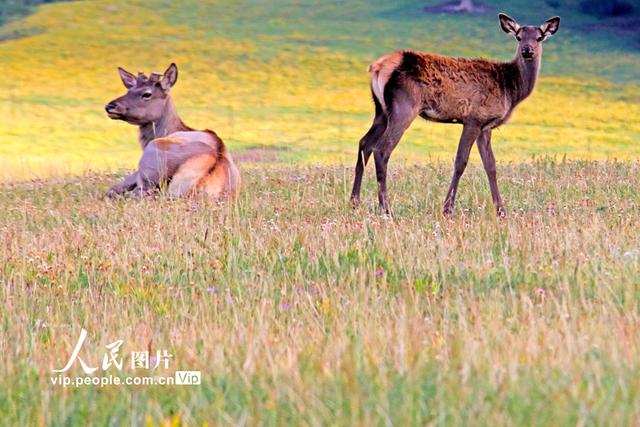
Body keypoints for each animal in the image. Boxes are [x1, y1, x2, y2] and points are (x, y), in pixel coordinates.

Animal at [350, 13, 560, 217]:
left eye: (539, 37)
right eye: (518, 36)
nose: (527, 50)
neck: (510, 88)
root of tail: (378, 67)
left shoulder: (486, 126)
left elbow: (490, 165)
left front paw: (501, 211)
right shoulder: (473, 119)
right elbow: (461, 162)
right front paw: (447, 209)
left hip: (381, 110)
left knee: (364, 143)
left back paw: (354, 203)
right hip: (403, 107)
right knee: (381, 149)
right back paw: (385, 208)